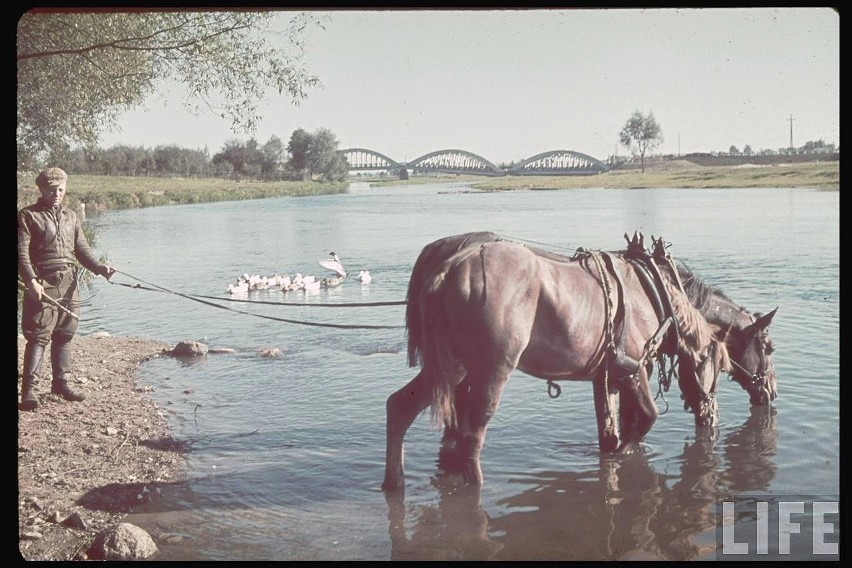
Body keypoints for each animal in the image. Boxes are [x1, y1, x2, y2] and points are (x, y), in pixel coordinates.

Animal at [382, 237, 728, 490]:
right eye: (720, 370)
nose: (713, 418)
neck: (651, 292)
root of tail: (448, 270)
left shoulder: (606, 375)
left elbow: (610, 428)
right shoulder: (634, 367)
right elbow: (646, 417)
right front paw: (623, 454)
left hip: (451, 366)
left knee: (399, 406)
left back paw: (394, 482)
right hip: (490, 370)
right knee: (472, 432)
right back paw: (476, 486)